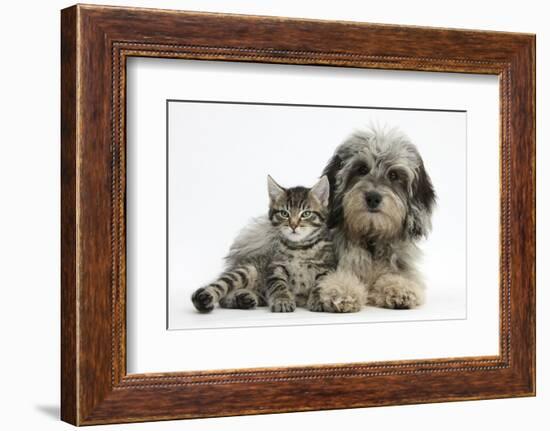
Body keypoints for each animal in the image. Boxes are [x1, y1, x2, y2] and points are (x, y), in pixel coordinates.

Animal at [192, 176, 334, 314]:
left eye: (306, 214)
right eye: (284, 213)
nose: (293, 225)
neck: (299, 247)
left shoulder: (326, 269)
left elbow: (321, 284)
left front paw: (319, 299)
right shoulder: (275, 267)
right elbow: (279, 285)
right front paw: (282, 301)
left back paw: (243, 299)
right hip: (246, 270)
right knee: (220, 288)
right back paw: (204, 298)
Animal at [312, 126, 438, 312]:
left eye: (394, 175)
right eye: (361, 169)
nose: (373, 197)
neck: (371, 239)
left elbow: (398, 277)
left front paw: (399, 288)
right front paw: (342, 290)